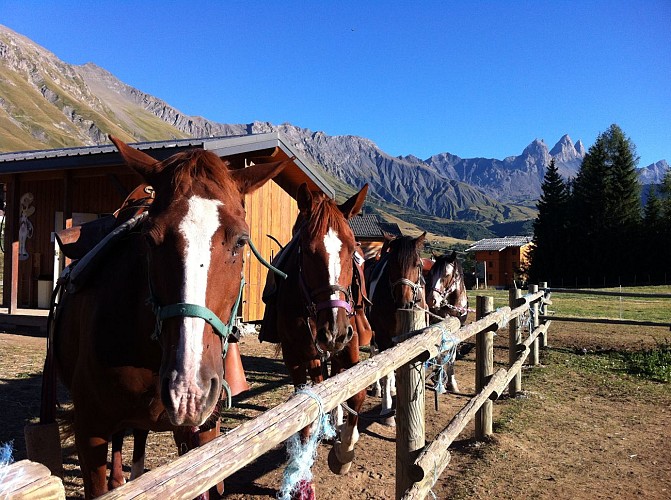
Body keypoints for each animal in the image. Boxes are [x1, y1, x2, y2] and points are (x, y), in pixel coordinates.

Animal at [262, 183, 368, 496]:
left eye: (352, 249)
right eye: (307, 252)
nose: (334, 331)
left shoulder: (350, 346)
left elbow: (358, 393)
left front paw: (344, 453)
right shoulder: (296, 357)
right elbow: (304, 412)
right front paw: (301, 480)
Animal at [364, 233, 428, 426]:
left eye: (417, 264)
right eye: (391, 265)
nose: (404, 303)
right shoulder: (383, 336)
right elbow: (386, 368)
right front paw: (387, 412)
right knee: (374, 352)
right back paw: (378, 388)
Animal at [426, 250, 468, 394]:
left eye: (447, 275)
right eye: (431, 273)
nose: (431, 300)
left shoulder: (458, 329)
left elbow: (452, 355)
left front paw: (452, 383)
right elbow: (439, 354)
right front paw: (439, 382)